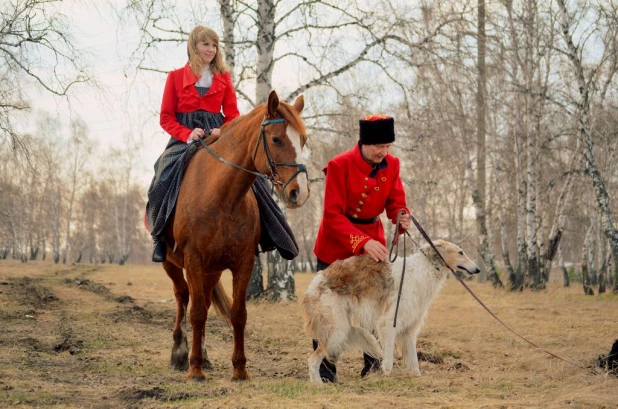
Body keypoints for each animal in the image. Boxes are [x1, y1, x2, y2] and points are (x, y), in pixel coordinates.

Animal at [161, 91, 310, 380]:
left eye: (303, 140)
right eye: (276, 139)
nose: (299, 193)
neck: (222, 198)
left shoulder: (243, 262)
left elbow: (238, 314)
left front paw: (239, 369)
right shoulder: (193, 259)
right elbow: (196, 313)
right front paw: (194, 370)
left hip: (212, 270)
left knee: (205, 301)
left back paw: (204, 356)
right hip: (171, 263)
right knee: (183, 298)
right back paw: (179, 353)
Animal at [300, 239, 478, 382]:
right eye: (460, 252)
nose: (478, 270)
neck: (425, 268)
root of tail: (313, 285)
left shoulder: (410, 328)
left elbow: (414, 360)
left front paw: (417, 377)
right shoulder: (389, 323)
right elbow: (389, 361)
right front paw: (387, 376)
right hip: (336, 328)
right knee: (312, 360)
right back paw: (318, 384)